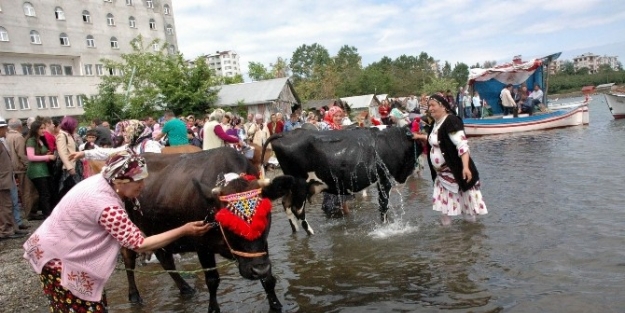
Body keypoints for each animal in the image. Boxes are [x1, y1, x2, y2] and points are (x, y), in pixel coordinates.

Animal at [260, 125, 422, 233]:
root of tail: (284, 134)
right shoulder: (384, 179)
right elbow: (383, 206)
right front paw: (386, 226)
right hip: (300, 183)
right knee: (297, 209)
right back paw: (311, 233)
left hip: (291, 185)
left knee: (286, 204)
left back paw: (296, 231)